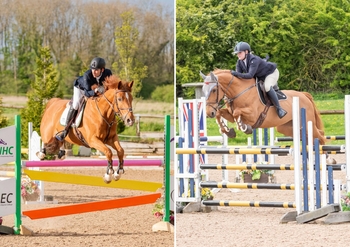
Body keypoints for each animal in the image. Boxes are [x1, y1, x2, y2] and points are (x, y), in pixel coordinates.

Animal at [200, 68, 336, 163]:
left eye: (213, 90)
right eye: (203, 90)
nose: (208, 113)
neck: (239, 91)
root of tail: (304, 95)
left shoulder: (253, 115)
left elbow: (237, 113)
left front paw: (244, 127)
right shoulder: (229, 114)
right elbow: (221, 114)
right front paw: (228, 131)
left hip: (308, 123)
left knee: (320, 136)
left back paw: (329, 159)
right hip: (287, 127)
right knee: (308, 139)